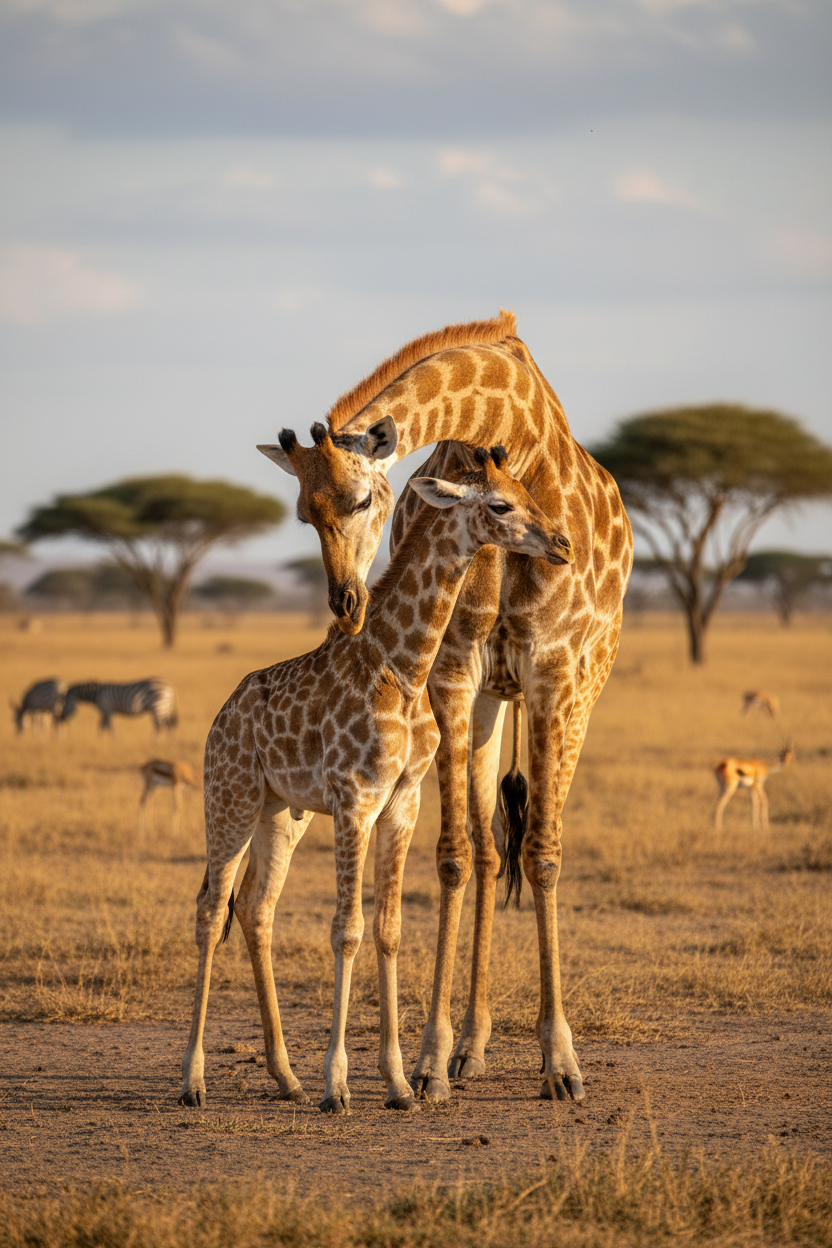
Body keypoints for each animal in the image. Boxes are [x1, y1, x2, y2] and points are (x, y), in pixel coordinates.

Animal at [178, 449, 572, 1114]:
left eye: (526, 489)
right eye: (499, 505)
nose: (562, 544)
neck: (403, 668)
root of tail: (221, 716)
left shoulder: (400, 802)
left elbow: (387, 931)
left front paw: (397, 1083)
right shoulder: (354, 800)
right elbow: (348, 931)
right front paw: (338, 1086)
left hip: (281, 813)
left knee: (257, 910)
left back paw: (285, 1078)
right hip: (228, 800)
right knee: (210, 909)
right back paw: (193, 1081)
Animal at [258, 311, 633, 1105]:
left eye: (363, 500)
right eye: (304, 512)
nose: (346, 604)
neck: (513, 430)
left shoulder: (553, 667)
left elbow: (544, 853)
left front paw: (561, 1062)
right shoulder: (456, 670)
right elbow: (457, 856)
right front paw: (430, 1059)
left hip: (585, 685)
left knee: (534, 841)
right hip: (493, 700)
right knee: (491, 848)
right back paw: (472, 1046)